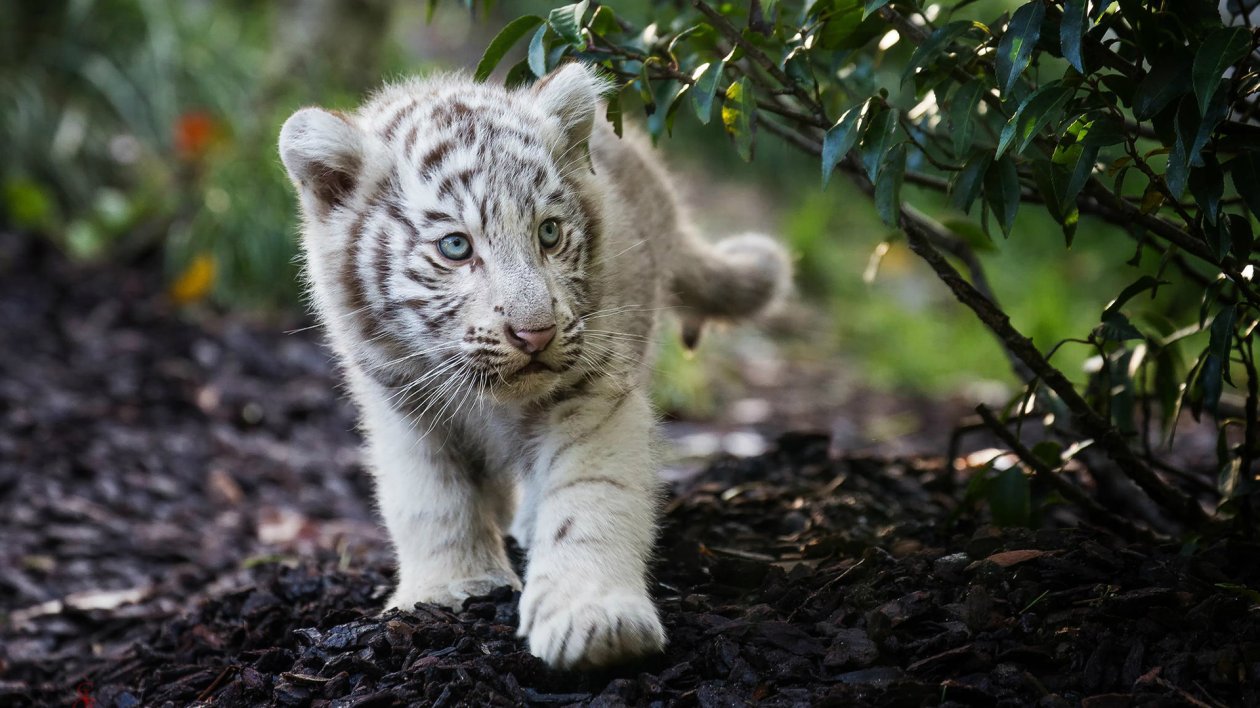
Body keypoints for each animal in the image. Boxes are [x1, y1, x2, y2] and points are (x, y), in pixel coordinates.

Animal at [277, 62, 790, 669]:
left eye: (549, 232)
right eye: (455, 247)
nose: (535, 333)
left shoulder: (594, 387)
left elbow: (589, 496)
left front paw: (594, 621)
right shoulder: (400, 399)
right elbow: (430, 498)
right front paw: (454, 589)